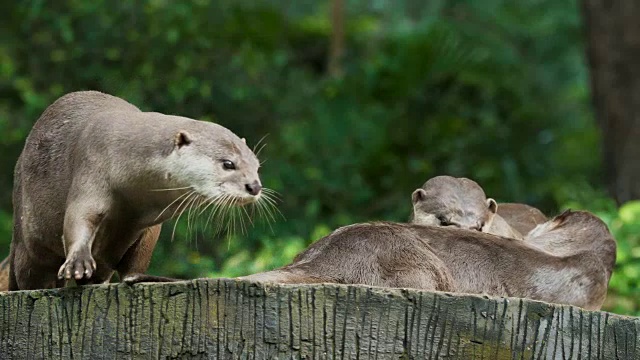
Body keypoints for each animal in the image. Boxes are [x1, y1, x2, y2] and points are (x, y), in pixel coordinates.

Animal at [8, 91, 262, 292]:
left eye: (257, 165)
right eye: (228, 164)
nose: (255, 186)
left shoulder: (148, 225)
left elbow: (137, 259)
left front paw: (141, 277)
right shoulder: (93, 165)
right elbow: (79, 216)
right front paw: (77, 263)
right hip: (26, 242)